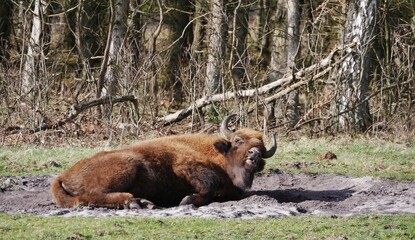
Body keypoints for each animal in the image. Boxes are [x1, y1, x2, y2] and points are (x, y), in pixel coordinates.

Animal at [52, 114, 278, 208]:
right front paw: (187, 200)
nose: (254, 155)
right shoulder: (185, 167)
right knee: (87, 196)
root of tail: (62, 176)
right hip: (128, 166)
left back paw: (142, 202)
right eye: (239, 141)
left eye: (262, 148)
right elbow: (210, 186)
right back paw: (135, 202)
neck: (217, 153)